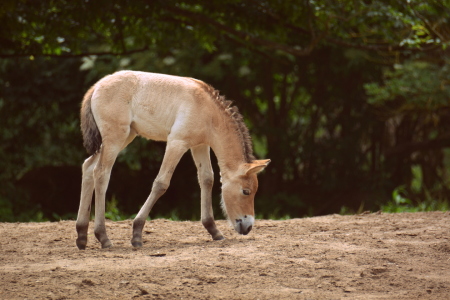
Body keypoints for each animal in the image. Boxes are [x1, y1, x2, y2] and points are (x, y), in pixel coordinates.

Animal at [75, 70, 268, 248]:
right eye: (246, 191)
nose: (248, 226)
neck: (207, 109)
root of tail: (96, 87)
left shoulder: (200, 146)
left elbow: (207, 179)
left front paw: (214, 230)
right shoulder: (177, 143)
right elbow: (161, 183)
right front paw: (137, 233)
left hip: (125, 137)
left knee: (88, 167)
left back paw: (82, 235)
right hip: (115, 138)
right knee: (101, 173)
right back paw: (103, 237)